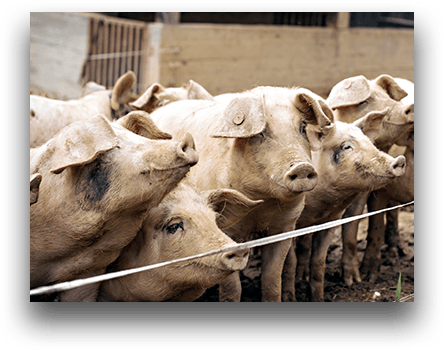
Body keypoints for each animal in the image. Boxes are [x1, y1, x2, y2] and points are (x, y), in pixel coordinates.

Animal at [147, 87, 334, 300]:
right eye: (260, 133)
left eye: (302, 128)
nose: (303, 167)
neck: (263, 204)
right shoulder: (226, 230)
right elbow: (232, 287)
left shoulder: (285, 227)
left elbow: (272, 279)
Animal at [282, 110, 404, 300]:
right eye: (346, 147)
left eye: (370, 142)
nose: (399, 159)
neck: (318, 208)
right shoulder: (287, 222)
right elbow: (289, 261)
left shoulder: (331, 220)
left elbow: (319, 260)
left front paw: (320, 298)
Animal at [326, 73, 412, 284]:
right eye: (364, 101)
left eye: (389, 97)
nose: (409, 106)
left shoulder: (364, 194)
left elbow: (351, 229)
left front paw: (354, 281)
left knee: (393, 213)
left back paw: (396, 252)